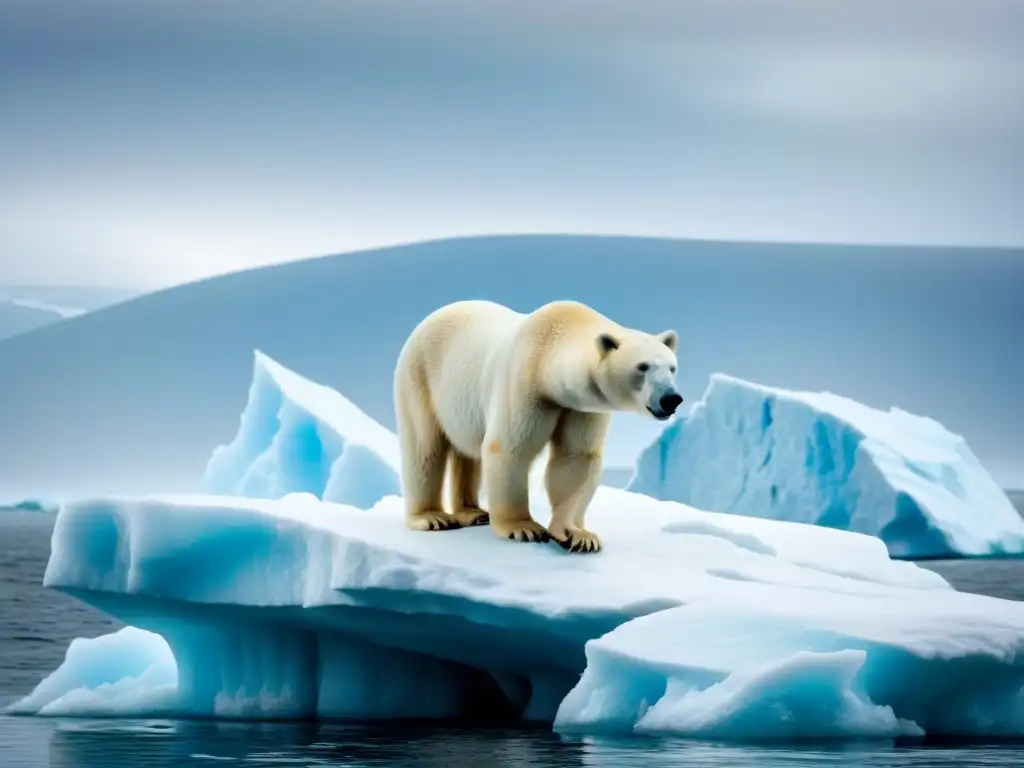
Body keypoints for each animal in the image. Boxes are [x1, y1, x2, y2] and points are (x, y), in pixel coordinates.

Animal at [391, 299, 679, 552]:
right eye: (642, 367)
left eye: (672, 367)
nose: (672, 399)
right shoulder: (525, 384)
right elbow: (509, 448)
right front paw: (523, 528)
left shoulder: (581, 407)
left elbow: (576, 458)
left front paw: (578, 535)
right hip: (420, 377)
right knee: (425, 447)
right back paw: (432, 517)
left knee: (467, 451)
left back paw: (473, 513)